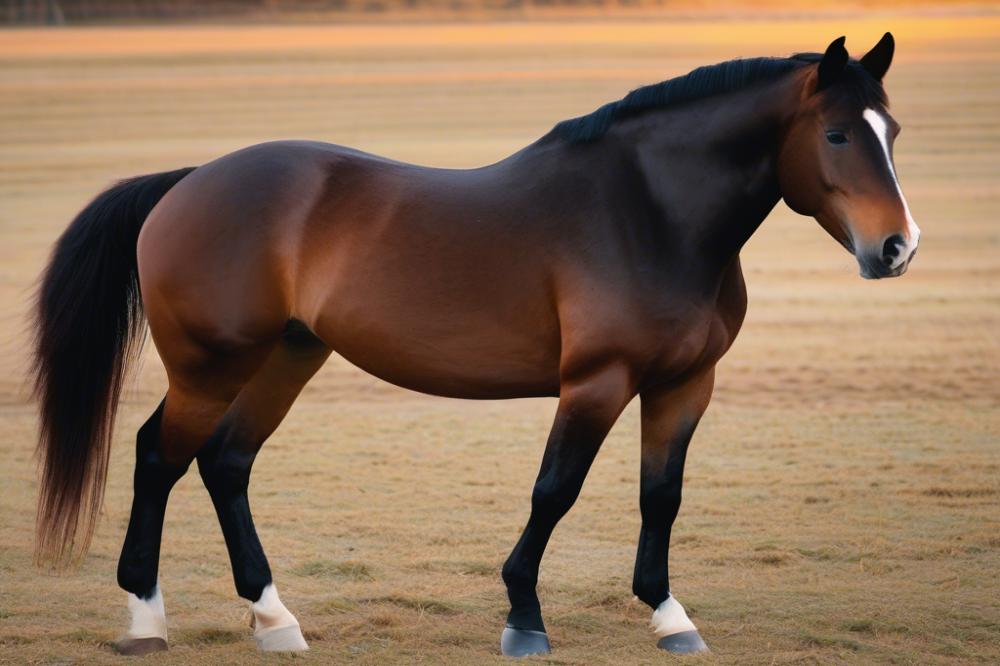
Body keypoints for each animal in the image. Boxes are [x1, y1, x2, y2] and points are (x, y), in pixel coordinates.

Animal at [31, 32, 917, 657]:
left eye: (894, 130)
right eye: (838, 136)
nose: (897, 249)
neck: (648, 214)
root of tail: (188, 181)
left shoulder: (685, 384)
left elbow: (660, 496)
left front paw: (670, 615)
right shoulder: (597, 382)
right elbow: (554, 492)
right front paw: (524, 617)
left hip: (285, 357)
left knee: (225, 463)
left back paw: (275, 619)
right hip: (211, 366)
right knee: (159, 456)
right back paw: (146, 621)